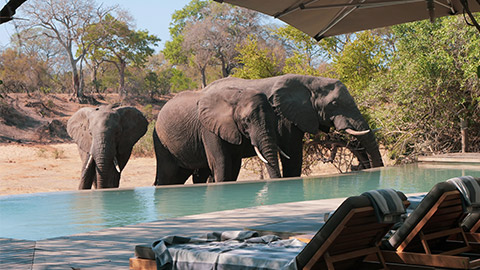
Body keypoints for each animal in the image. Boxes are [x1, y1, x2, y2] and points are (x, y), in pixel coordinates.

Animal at [153, 87, 282, 185]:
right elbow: (221, 162)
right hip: (161, 140)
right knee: (167, 174)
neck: (237, 95)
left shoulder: (234, 130)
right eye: (246, 120)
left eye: (274, 118)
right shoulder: (208, 129)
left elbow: (235, 163)